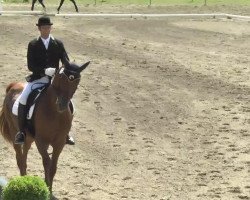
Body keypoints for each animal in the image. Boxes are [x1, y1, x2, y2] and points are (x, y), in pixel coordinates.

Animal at [0, 59, 90, 192]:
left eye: (77, 81)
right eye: (60, 77)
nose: (62, 104)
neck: (55, 113)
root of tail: (13, 86)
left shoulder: (59, 143)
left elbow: (53, 166)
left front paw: (49, 188)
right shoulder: (41, 141)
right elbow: (47, 162)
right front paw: (46, 187)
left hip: (29, 137)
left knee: (24, 155)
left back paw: (25, 178)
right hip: (14, 131)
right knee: (19, 158)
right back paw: (23, 181)